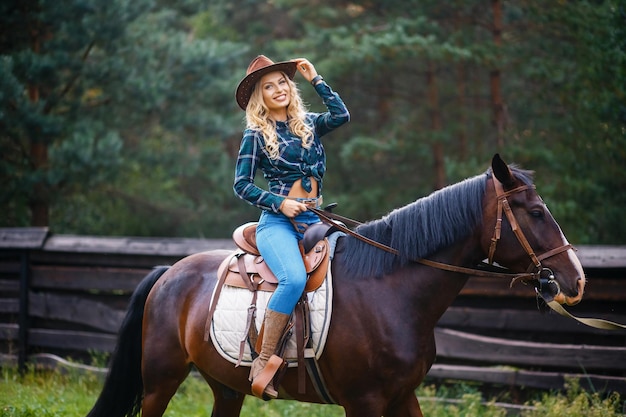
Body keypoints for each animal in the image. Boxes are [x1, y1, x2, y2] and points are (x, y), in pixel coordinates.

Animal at [85, 154, 584, 416]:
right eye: (535, 212)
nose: (574, 279)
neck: (390, 291)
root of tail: (168, 274)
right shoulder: (363, 402)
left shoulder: (403, 396)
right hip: (160, 381)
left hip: (225, 387)